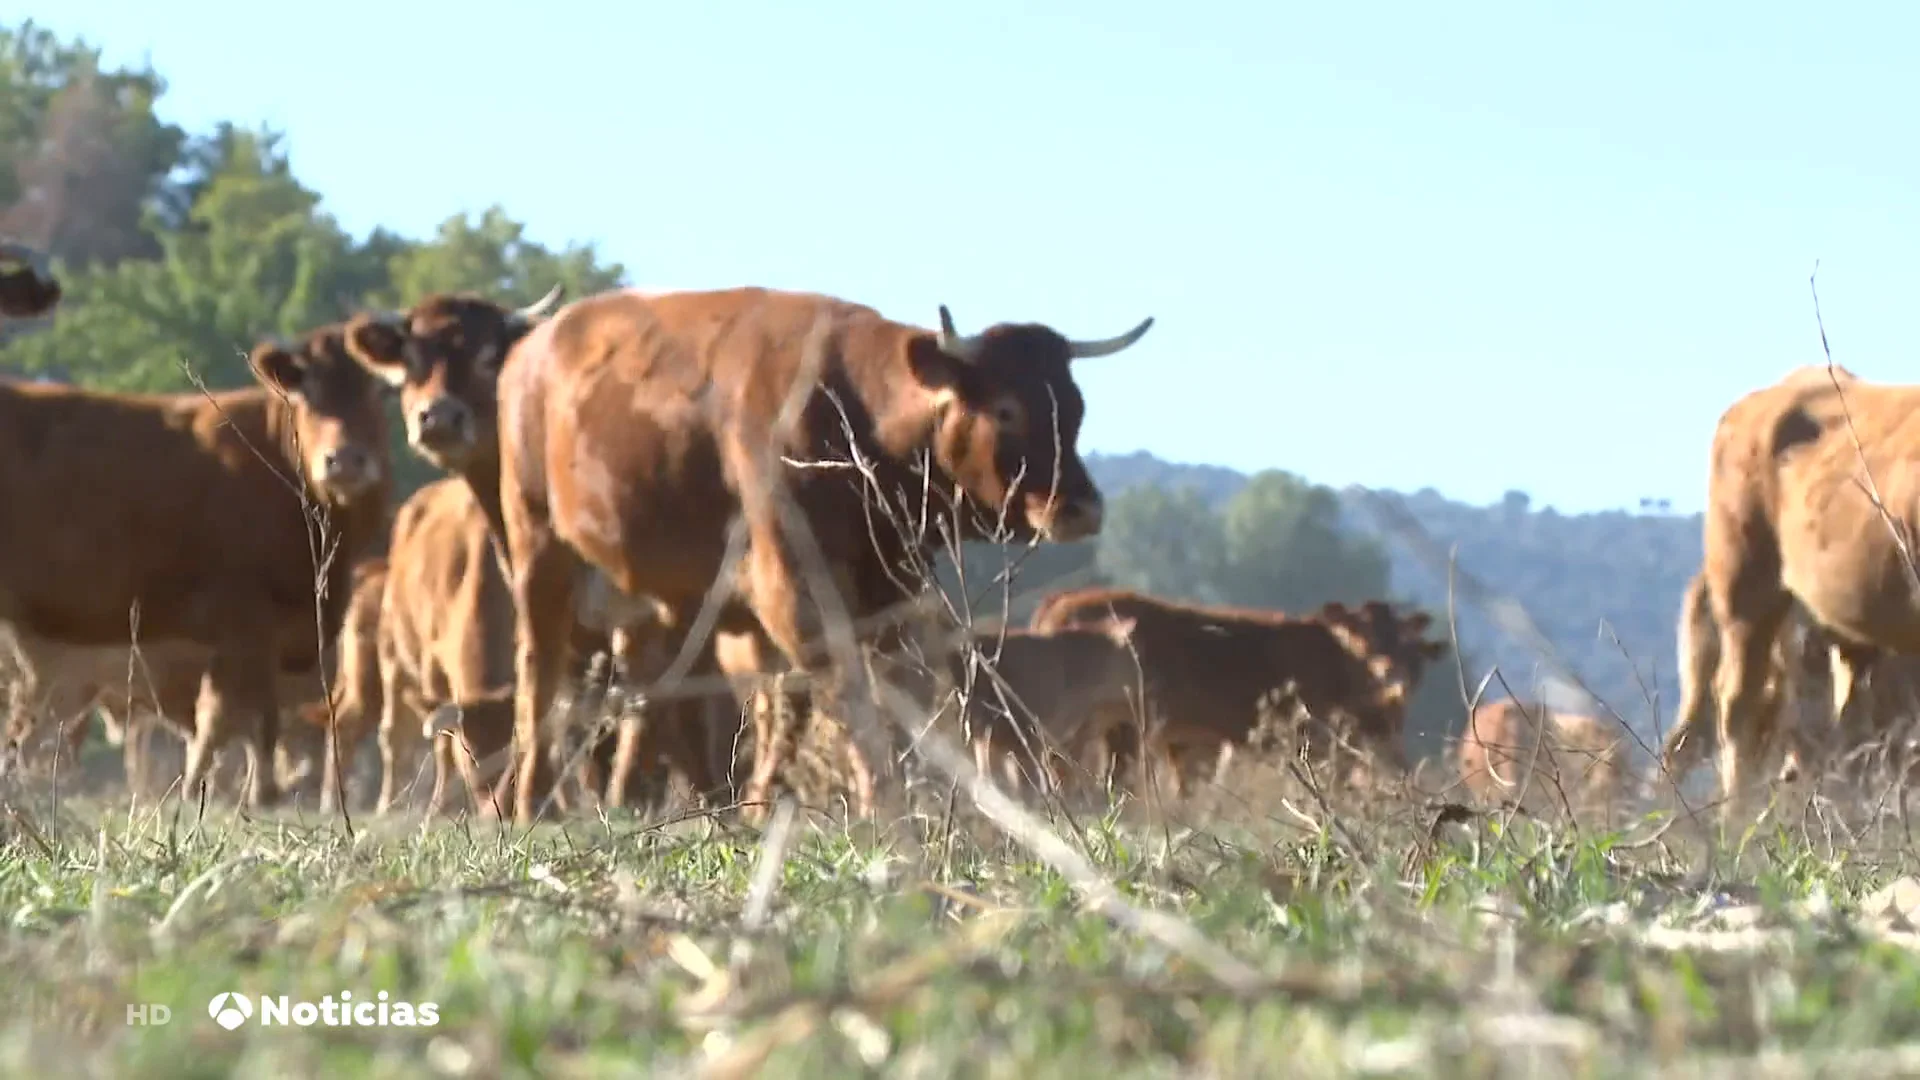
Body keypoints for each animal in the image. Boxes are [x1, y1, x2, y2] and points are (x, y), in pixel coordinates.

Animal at [0, 322, 393, 806]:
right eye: (306, 390)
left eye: (377, 388)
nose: (345, 460)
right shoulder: (245, 626)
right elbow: (232, 717)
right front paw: (228, 792)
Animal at [356, 286, 1151, 824]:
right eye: (1007, 409)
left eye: (1076, 409)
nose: (1083, 507)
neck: (850, 411)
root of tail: (540, 346)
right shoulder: (791, 588)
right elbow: (847, 694)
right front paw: (884, 807)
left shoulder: (891, 585)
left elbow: (900, 695)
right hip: (539, 553)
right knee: (541, 676)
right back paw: (534, 802)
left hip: (668, 596)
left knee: (658, 695)